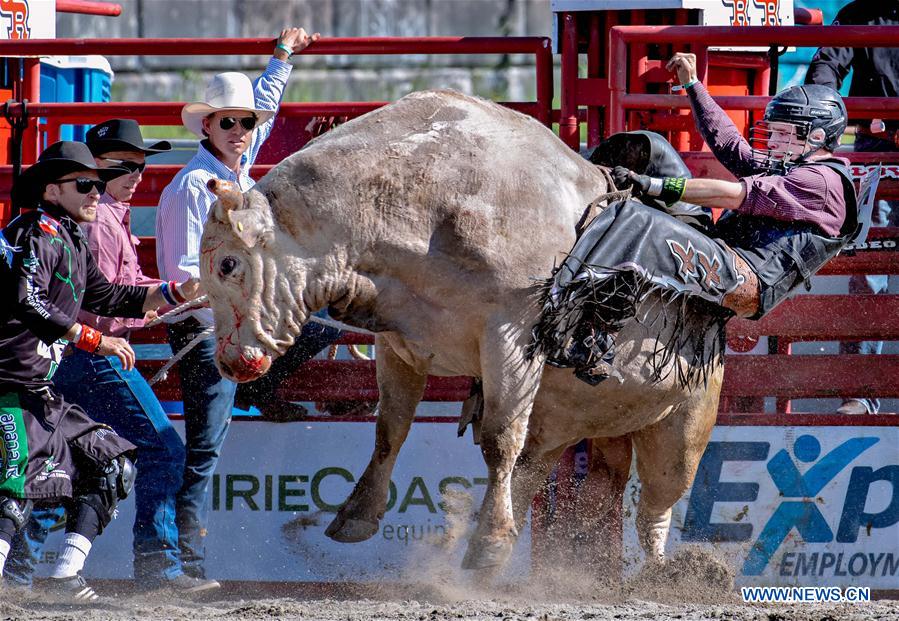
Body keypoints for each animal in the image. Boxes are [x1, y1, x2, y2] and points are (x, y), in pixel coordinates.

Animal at [199, 89, 724, 572]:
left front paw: (487, 548)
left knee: (656, 503)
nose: (228, 361)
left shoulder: (512, 338)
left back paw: (659, 572)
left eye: (228, 264)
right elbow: (391, 428)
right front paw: (357, 515)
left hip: (684, 425)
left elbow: (498, 441)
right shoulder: (399, 344)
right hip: (570, 426)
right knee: (541, 473)